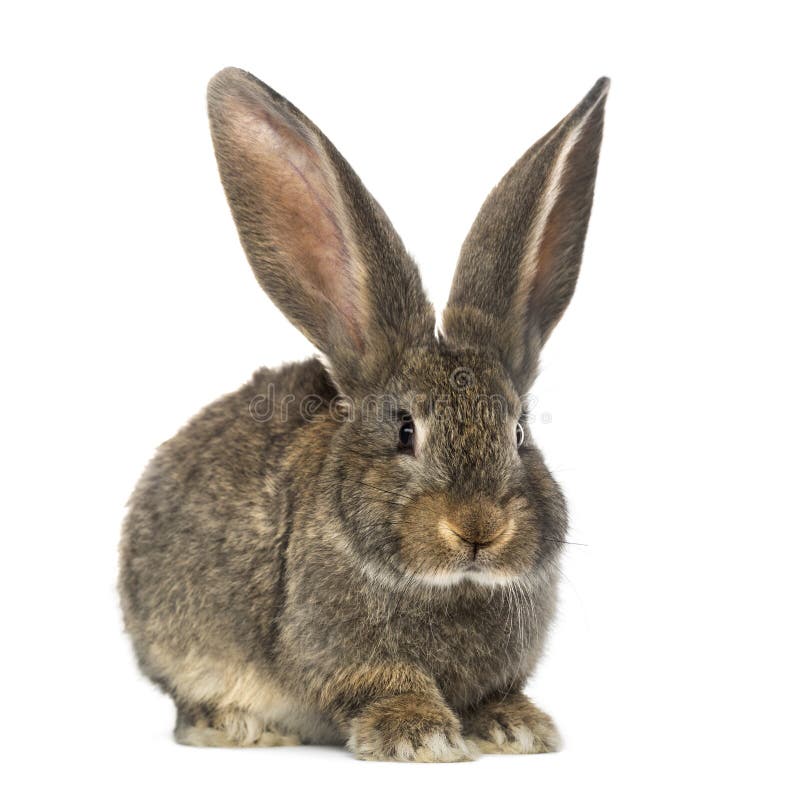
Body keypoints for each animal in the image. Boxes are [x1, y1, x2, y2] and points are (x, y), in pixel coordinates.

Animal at [118, 66, 608, 762]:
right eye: (405, 430)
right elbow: (385, 684)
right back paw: (237, 726)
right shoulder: (340, 652)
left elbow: (495, 694)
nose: (478, 528)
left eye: (519, 432)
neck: (449, 585)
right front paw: (421, 736)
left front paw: (519, 728)